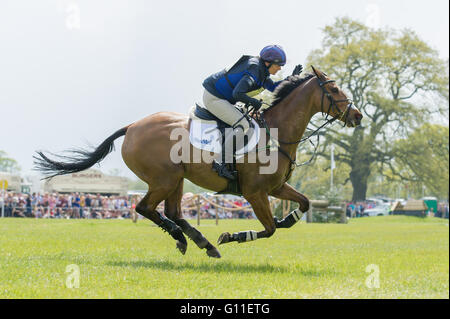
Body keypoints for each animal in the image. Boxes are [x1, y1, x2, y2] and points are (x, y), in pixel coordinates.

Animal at [33, 66, 362, 258]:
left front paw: (286, 219)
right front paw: (231, 235)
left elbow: (302, 205)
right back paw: (191, 240)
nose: (357, 116)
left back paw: (199, 242)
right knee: (144, 208)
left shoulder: (276, 188)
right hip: (164, 178)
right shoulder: (255, 192)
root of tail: (132, 126)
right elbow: (268, 229)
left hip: (176, 179)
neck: (277, 132)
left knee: (172, 211)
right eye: (334, 90)